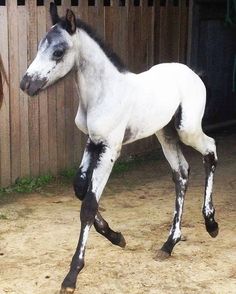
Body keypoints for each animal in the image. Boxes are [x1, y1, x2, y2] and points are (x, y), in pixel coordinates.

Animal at [19, 2, 218, 294]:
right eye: (38, 47)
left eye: (58, 51)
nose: (26, 84)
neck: (103, 93)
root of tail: (193, 73)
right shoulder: (93, 142)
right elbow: (80, 189)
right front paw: (116, 236)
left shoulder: (111, 148)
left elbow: (88, 205)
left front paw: (72, 275)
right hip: (165, 133)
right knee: (181, 173)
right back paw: (169, 244)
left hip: (187, 129)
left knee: (210, 150)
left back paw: (211, 224)